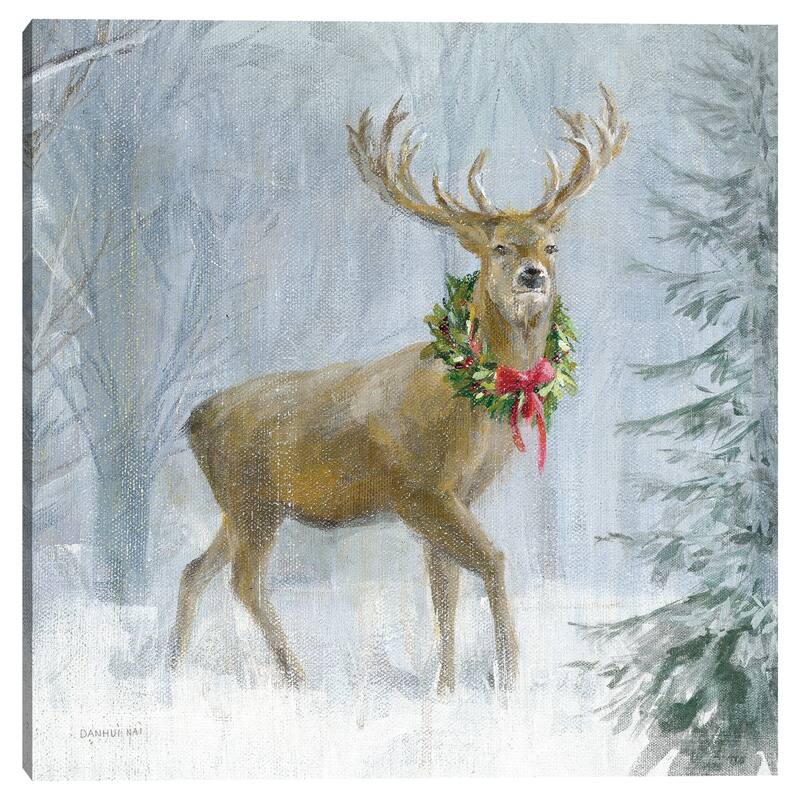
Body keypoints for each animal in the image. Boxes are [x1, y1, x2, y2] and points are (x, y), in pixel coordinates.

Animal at [170, 85, 628, 693]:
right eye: (500, 248)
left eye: (550, 245)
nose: (533, 274)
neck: (473, 407)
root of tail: (194, 419)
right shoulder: (420, 488)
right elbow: (491, 561)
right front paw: (507, 680)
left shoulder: (456, 495)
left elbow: (444, 587)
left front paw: (446, 688)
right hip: (251, 499)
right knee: (244, 580)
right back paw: (298, 677)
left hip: (243, 505)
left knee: (194, 570)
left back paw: (172, 672)